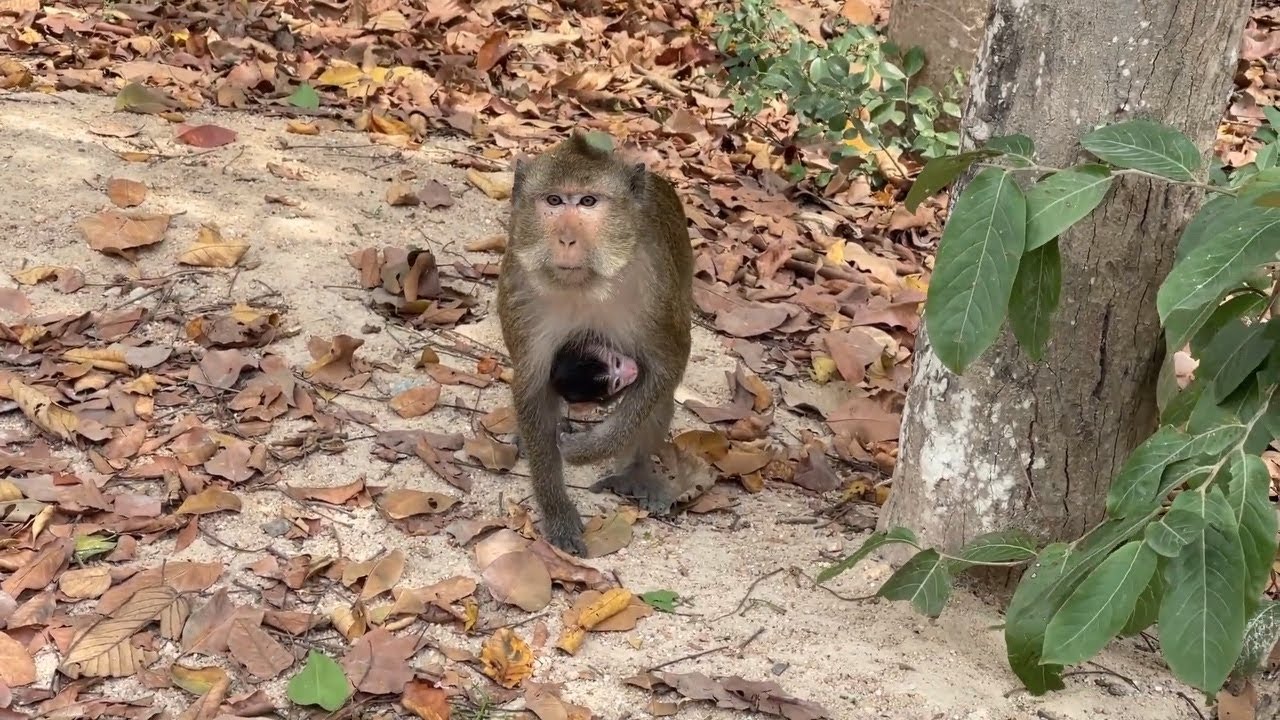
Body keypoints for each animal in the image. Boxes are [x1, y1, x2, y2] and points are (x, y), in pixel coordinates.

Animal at [496, 132, 693, 555]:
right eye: (554, 200)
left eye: (588, 202)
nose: (567, 238)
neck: (588, 284)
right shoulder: (521, 289)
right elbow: (532, 387)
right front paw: (557, 511)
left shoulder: (656, 289)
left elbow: (666, 366)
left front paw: (585, 450)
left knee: (661, 397)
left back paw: (635, 472)